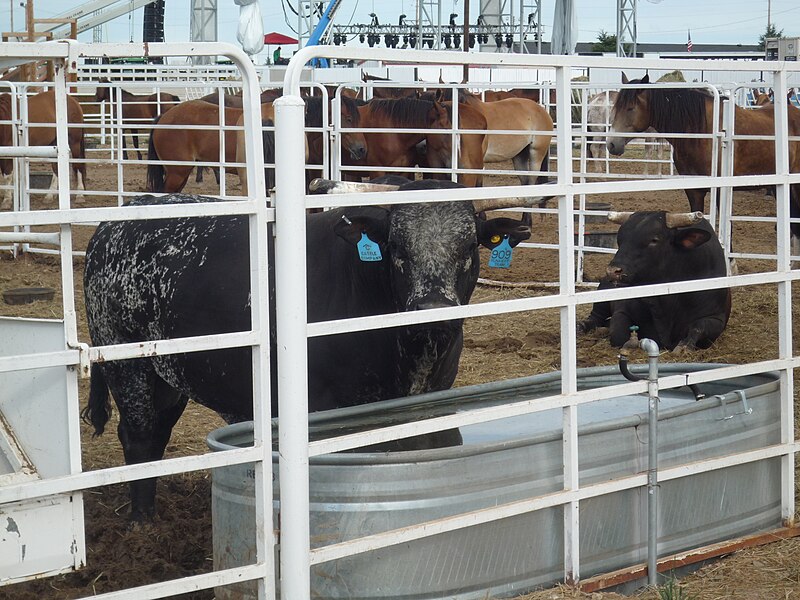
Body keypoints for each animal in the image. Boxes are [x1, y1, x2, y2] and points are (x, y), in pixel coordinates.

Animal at [83, 179, 532, 520]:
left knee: (157, 432)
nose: (433, 310)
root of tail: (115, 222)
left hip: (169, 374)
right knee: (139, 436)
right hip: (125, 361)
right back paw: (143, 522)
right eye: (397, 248)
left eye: (469, 247)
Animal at [576, 211, 732, 352]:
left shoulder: (716, 318)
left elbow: (698, 327)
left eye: (654, 240)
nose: (613, 271)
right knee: (595, 317)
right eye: (620, 239)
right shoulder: (622, 311)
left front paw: (684, 346)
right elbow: (618, 335)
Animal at [608, 72, 800, 253]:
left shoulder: (721, 190)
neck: (700, 132)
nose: (611, 144)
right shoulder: (694, 190)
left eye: (630, 108)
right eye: (616, 107)